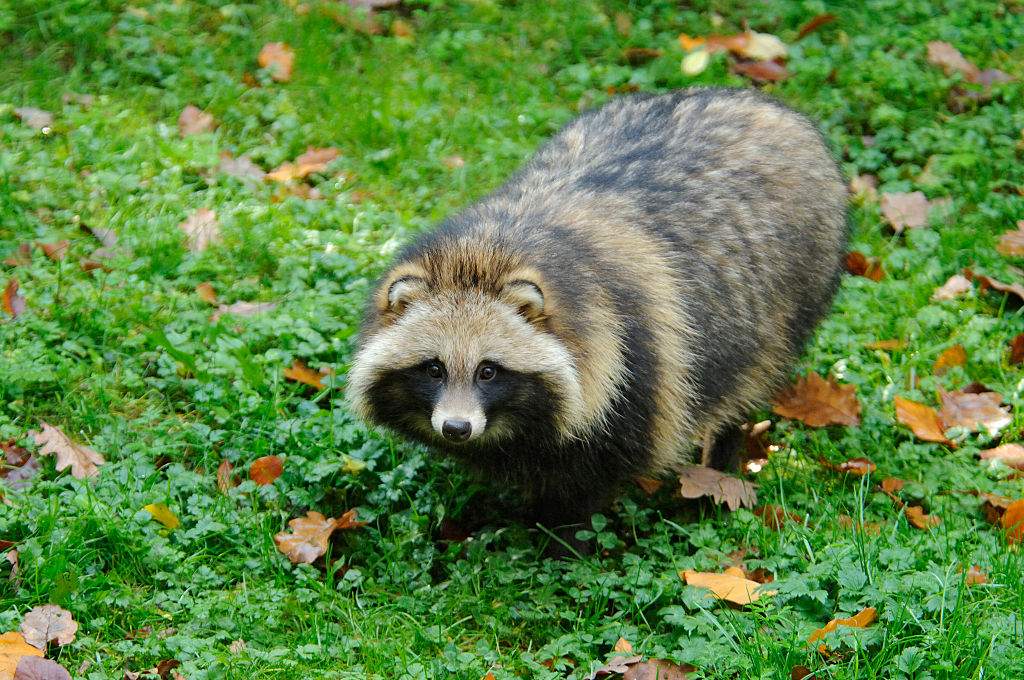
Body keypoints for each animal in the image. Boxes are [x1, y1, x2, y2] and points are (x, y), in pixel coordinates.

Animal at [347, 88, 848, 533]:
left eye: (489, 371)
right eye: (433, 368)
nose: (456, 428)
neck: (488, 251)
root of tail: (765, 102)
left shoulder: (634, 363)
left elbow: (590, 479)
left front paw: (561, 537)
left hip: (793, 290)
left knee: (747, 378)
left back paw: (721, 460)